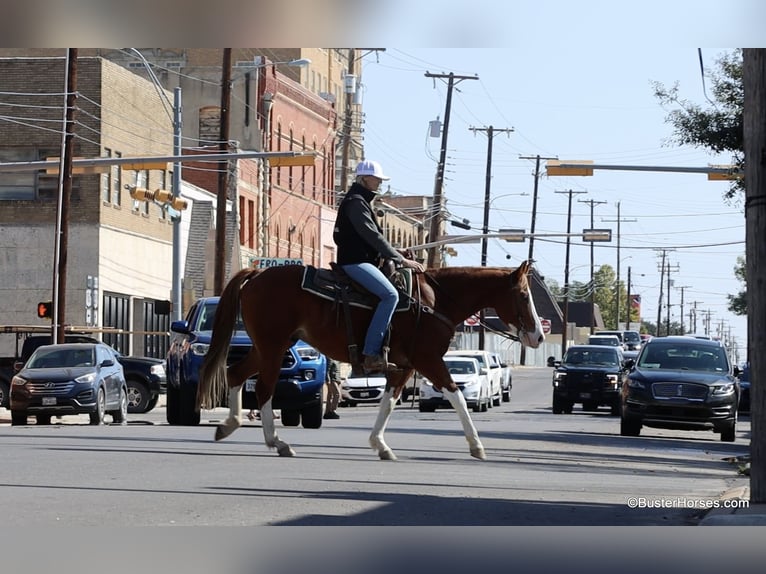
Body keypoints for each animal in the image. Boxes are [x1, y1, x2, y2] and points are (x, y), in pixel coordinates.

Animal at [198, 260, 544, 464]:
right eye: (524, 296)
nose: (539, 336)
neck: (434, 302)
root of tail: (257, 274)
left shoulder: (404, 366)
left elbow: (388, 402)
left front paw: (380, 445)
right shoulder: (429, 359)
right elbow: (456, 395)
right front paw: (477, 446)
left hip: (266, 346)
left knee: (236, 373)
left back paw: (229, 425)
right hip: (273, 346)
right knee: (264, 388)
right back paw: (277, 442)